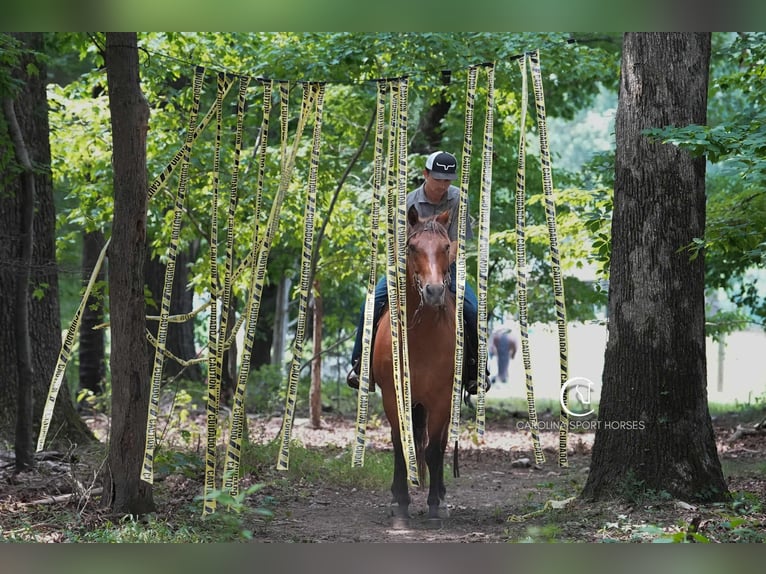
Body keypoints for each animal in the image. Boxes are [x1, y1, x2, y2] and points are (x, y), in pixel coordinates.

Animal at [372, 205, 457, 529]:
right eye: (412, 247)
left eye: (446, 247)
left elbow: (433, 451)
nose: (433, 292)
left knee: (440, 444)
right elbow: (398, 445)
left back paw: (442, 497)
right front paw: (399, 503)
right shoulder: (392, 396)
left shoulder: (442, 398)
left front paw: (435, 505)